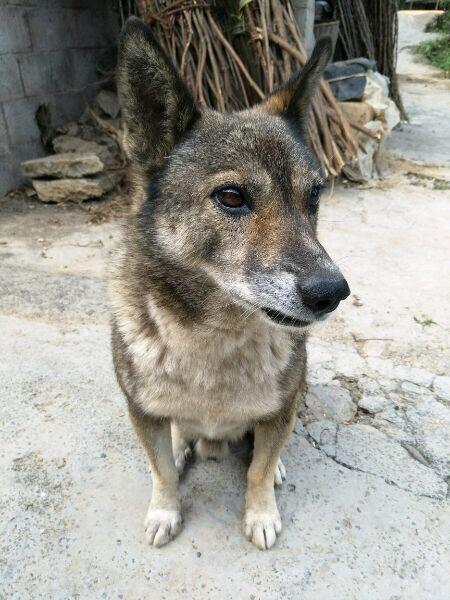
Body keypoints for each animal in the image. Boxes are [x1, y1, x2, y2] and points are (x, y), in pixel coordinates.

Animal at [110, 16, 350, 552]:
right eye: (232, 196)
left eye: (314, 196)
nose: (332, 293)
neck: (214, 340)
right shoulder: (140, 412)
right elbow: (160, 471)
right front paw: (165, 509)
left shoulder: (279, 410)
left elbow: (258, 468)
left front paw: (261, 511)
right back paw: (183, 443)